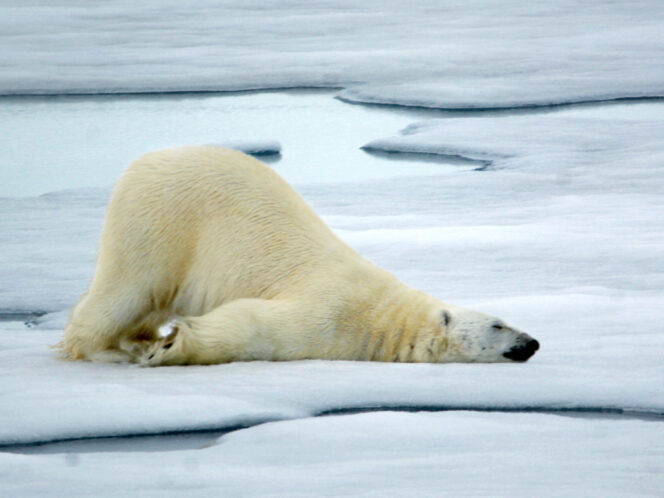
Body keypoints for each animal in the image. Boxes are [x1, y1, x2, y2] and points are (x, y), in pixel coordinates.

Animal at [61, 145, 540, 366]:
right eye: (499, 324)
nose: (532, 342)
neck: (384, 318)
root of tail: (148, 160)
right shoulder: (331, 310)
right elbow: (255, 325)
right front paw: (171, 345)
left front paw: (164, 343)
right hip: (162, 221)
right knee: (127, 288)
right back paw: (106, 350)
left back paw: (137, 340)